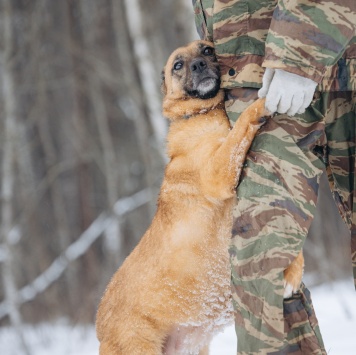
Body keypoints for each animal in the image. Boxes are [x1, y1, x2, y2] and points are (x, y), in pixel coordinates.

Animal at [95, 40, 304, 354]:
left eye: (206, 50)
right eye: (178, 65)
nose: (198, 65)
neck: (203, 113)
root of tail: (99, 329)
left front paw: (293, 274)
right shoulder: (219, 172)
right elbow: (243, 122)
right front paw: (267, 98)